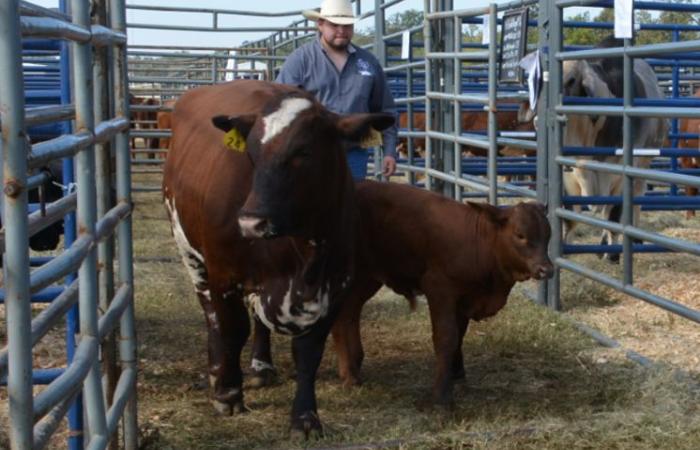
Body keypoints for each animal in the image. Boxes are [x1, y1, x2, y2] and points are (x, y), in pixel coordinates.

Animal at [162, 79, 393, 437]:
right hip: (190, 253)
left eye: (303, 152)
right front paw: (228, 394)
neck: (303, 250)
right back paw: (217, 370)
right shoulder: (224, 275)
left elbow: (309, 351)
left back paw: (261, 365)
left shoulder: (335, 284)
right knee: (210, 313)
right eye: (251, 155)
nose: (251, 222)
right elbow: (232, 330)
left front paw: (305, 417)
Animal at [250, 180, 554, 409]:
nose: (546, 269)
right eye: (520, 234)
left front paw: (457, 374)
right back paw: (348, 374)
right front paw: (441, 397)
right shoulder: (440, 289)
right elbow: (446, 338)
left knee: (348, 314)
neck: (478, 242)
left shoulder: (464, 299)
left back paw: (354, 367)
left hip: (365, 278)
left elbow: (459, 336)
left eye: (548, 235)